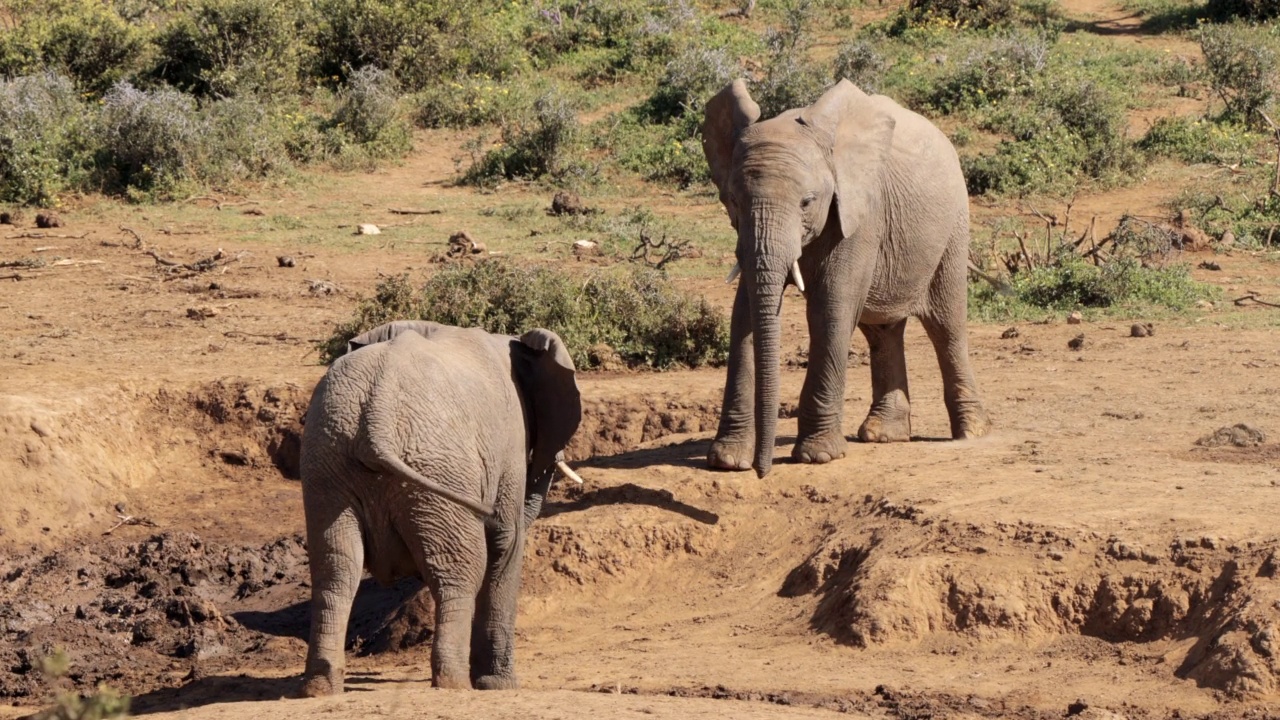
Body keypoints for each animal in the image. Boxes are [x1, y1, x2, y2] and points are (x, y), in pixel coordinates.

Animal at [299, 317, 581, 691]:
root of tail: (377, 415)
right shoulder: (510, 439)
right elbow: (506, 542)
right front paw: (500, 685)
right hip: (439, 467)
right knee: (460, 572)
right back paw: (455, 684)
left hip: (326, 462)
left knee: (335, 572)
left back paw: (320, 688)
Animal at [701, 77, 988, 476]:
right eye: (733, 201)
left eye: (807, 202)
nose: (762, 470)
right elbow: (743, 313)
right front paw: (728, 461)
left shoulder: (860, 214)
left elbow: (830, 309)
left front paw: (818, 456)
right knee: (882, 330)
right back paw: (883, 435)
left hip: (953, 228)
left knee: (946, 326)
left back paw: (970, 432)